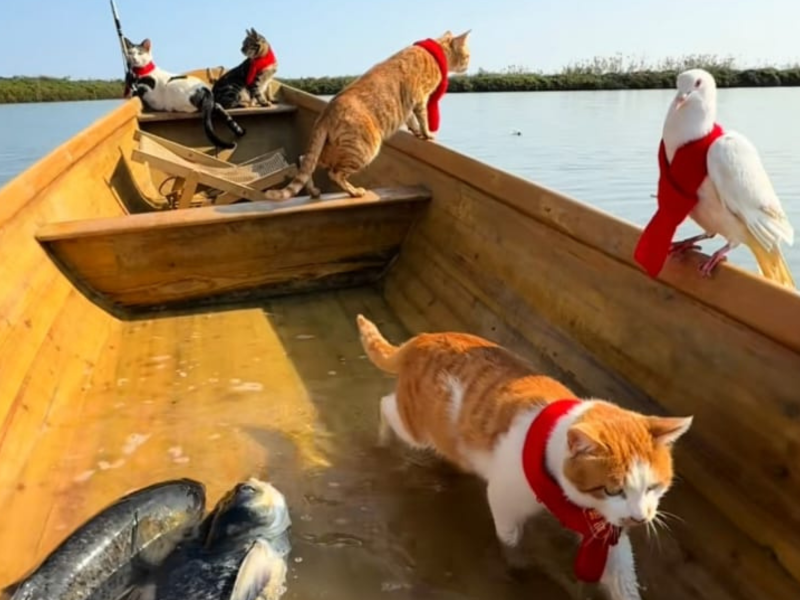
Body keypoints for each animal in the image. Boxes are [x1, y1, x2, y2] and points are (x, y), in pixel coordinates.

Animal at [266, 29, 472, 202]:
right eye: (468, 55)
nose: (469, 64)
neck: (435, 53)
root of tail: (327, 110)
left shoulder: (408, 104)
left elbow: (411, 120)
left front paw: (416, 132)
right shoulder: (420, 97)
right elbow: (423, 119)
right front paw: (427, 134)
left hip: (331, 147)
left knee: (305, 160)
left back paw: (314, 191)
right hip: (364, 148)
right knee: (335, 173)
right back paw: (354, 192)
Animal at [356, 314, 692, 600]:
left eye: (653, 487)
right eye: (613, 489)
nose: (640, 518)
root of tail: (425, 337)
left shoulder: (603, 528)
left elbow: (621, 577)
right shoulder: (504, 500)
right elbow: (512, 543)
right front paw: (518, 567)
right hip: (417, 428)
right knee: (386, 406)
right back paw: (384, 441)